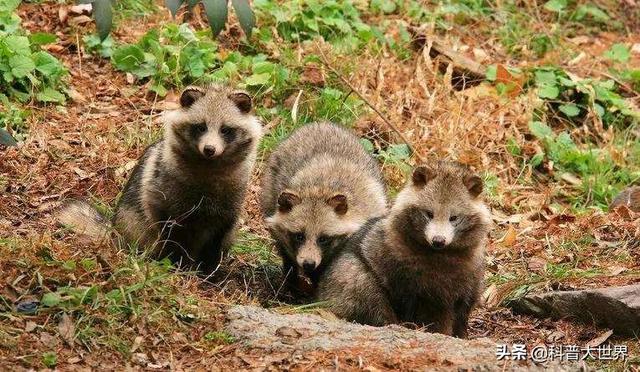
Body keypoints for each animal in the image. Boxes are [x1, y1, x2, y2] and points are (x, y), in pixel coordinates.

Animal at [57, 85, 262, 274]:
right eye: (201, 127)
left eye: (225, 130)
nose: (209, 149)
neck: (209, 165)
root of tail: (114, 230)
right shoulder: (164, 197)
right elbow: (171, 232)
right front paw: (177, 263)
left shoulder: (229, 204)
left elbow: (218, 237)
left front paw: (209, 269)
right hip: (132, 221)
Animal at [262, 123, 390, 292]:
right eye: (299, 236)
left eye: (323, 239)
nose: (308, 264)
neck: (321, 190)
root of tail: (321, 123)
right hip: (270, 187)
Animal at [318, 161, 492, 338]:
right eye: (429, 214)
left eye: (454, 218)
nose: (438, 240)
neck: (441, 254)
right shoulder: (408, 279)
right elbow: (424, 310)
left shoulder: (470, 279)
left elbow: (462, 311)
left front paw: (460, 334)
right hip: (350, 276)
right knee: (370, 297)